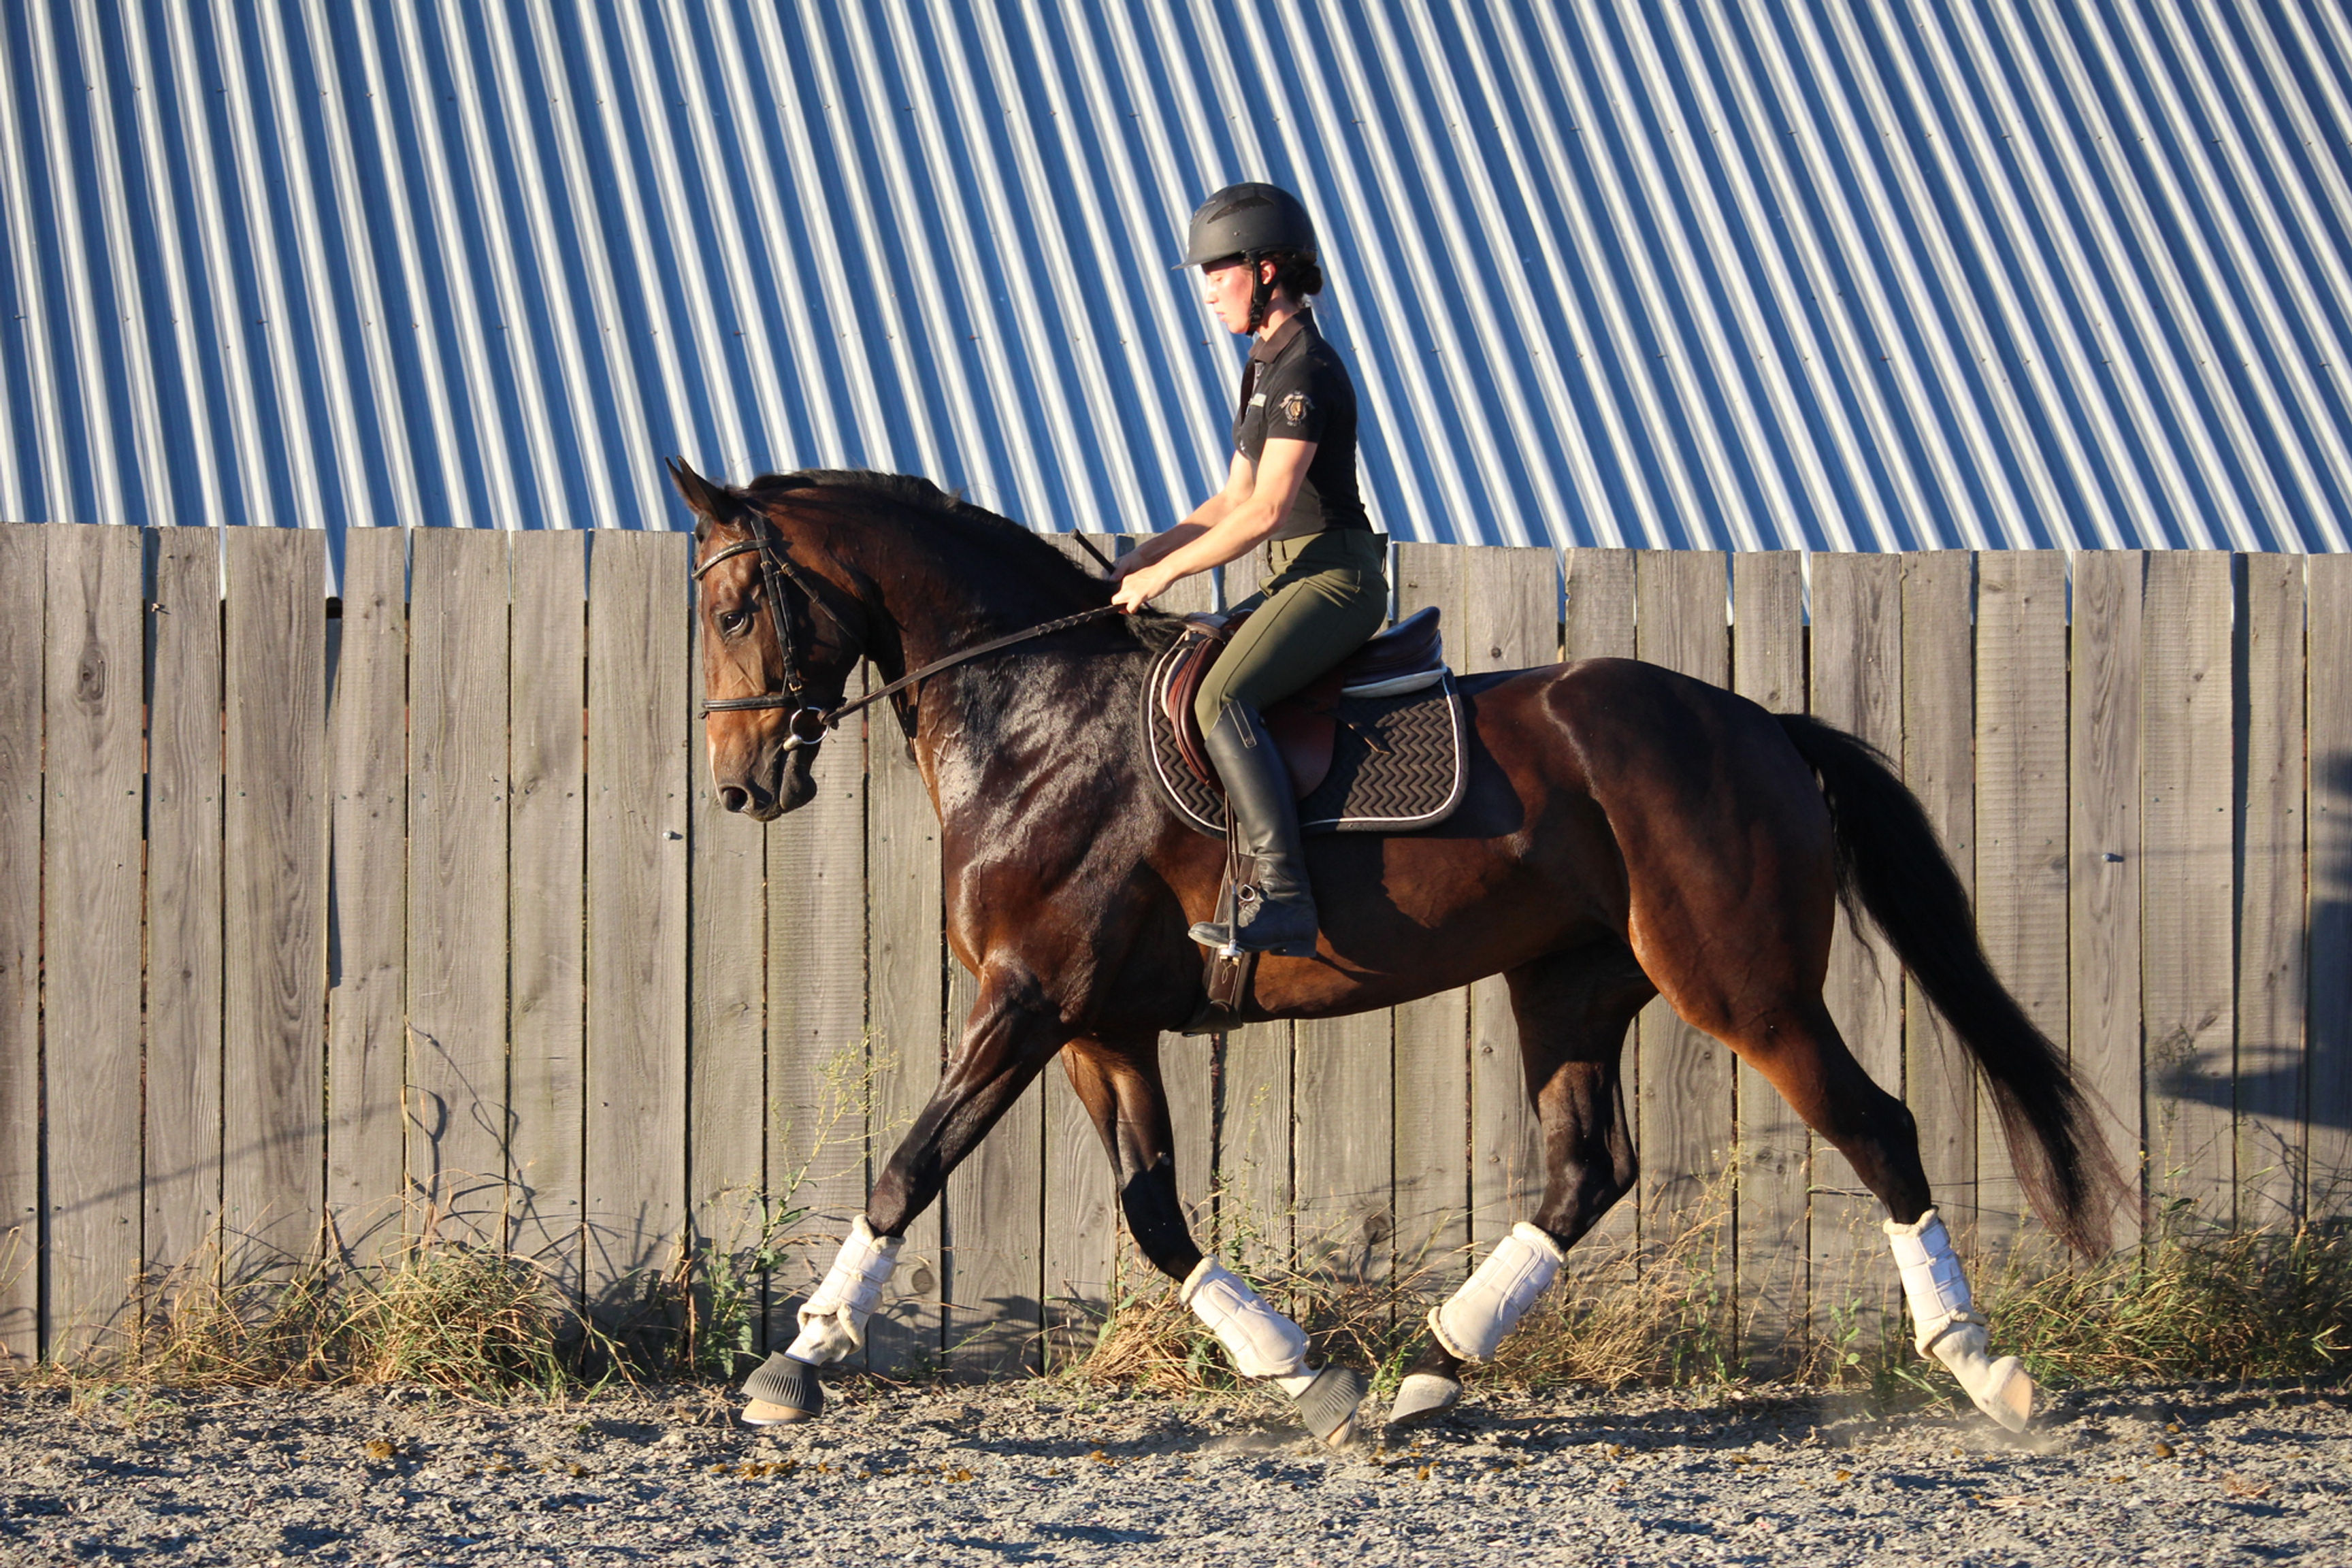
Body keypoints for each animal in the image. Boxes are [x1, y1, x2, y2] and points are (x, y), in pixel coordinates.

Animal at [671, 460, 2122, 1446]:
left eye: (739, 604)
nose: (740, 785)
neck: (1036, 718)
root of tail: (1758, 721)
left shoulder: (1027, 1002)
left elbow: (908, 1167)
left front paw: (797, 1360)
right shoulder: (1098, 1025)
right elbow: (1153, 1212)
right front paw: (1310, 1377)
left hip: (1745, 987)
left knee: (1876, 1126)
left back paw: (1986, 1370)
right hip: (1570, 983)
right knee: (1588, 1167)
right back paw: (1430, 1369)